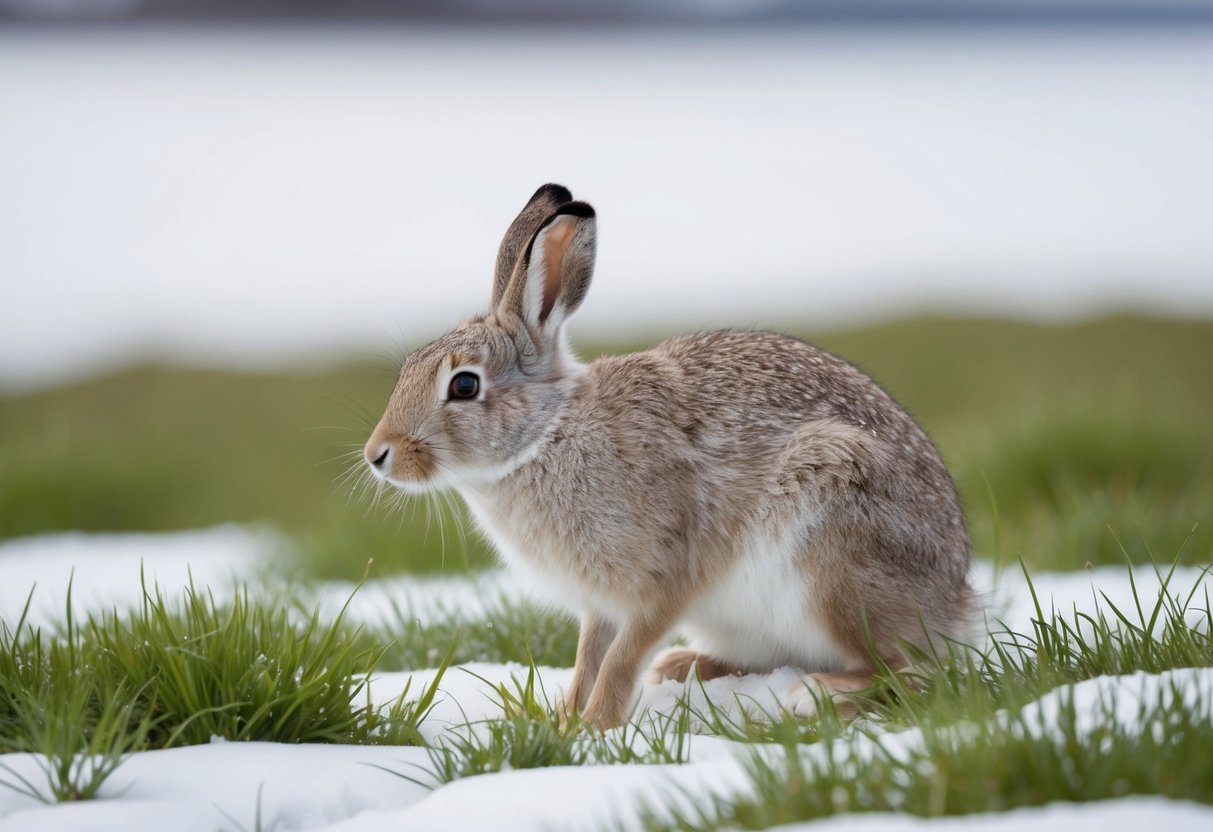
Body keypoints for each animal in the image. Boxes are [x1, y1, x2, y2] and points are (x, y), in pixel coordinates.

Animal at [364, 183, 974, 729]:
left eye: (464, 386)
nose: (377, 455)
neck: (545, 434)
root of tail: (954, 602)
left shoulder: (663, 576)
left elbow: (619, 658)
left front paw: (595, 728)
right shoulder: (599, 605)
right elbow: (589, 656)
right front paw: (563, 721)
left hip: (833, 546)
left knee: (905, 669)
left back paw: (815, 694)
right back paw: (684, 666)